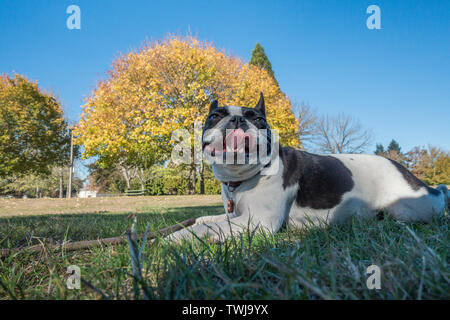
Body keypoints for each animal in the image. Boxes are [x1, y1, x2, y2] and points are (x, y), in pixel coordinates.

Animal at [168, 94, 446, 241]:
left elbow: (205, 226)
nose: (237, 119)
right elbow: (205, 219)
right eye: (214, 116)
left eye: (259, 120)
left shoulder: (259, 220)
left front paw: (173, 238)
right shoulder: (236, 214)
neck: (242, 179)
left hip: (409, 208)